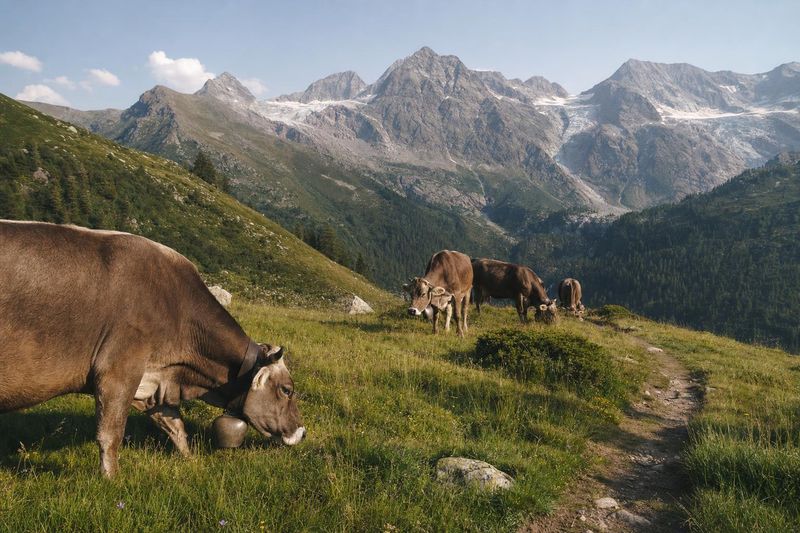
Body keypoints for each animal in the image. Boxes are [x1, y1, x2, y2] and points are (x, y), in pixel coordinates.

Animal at [0, 221, 305, 477]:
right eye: (286, 390)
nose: (301, 432)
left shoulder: (154, 383)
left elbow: (176, 427)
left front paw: (191, 462)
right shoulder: (118, 371)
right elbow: (111, 434)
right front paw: (112, 480)